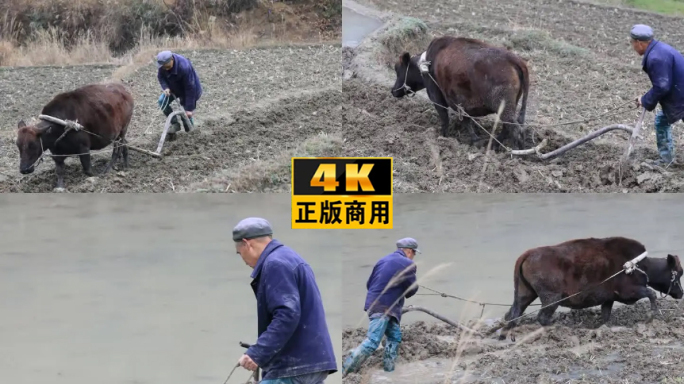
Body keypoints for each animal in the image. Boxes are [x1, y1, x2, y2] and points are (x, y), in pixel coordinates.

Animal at [390, 36, 528, 150]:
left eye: (398, 69)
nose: (393, 91)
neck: (427, 64)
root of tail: (515, 60)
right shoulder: (462, 105)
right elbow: (467, 121)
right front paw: (476, 139)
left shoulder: (437, 99)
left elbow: (446, 119)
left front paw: (442, 137)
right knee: (508, 128)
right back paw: (495, 145)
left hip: (504, 107)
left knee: (515, 129)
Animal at [500, 237, 680, 340]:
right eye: (677, 274)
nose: (681, 293)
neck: (640, 265)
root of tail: (527, 255)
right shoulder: (629, 292)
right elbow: (651, 293)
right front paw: (652, 316)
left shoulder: (609, 299)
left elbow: (606, 315)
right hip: (552, 299)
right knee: (541, 317)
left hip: (525, 294)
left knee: (512, 314)